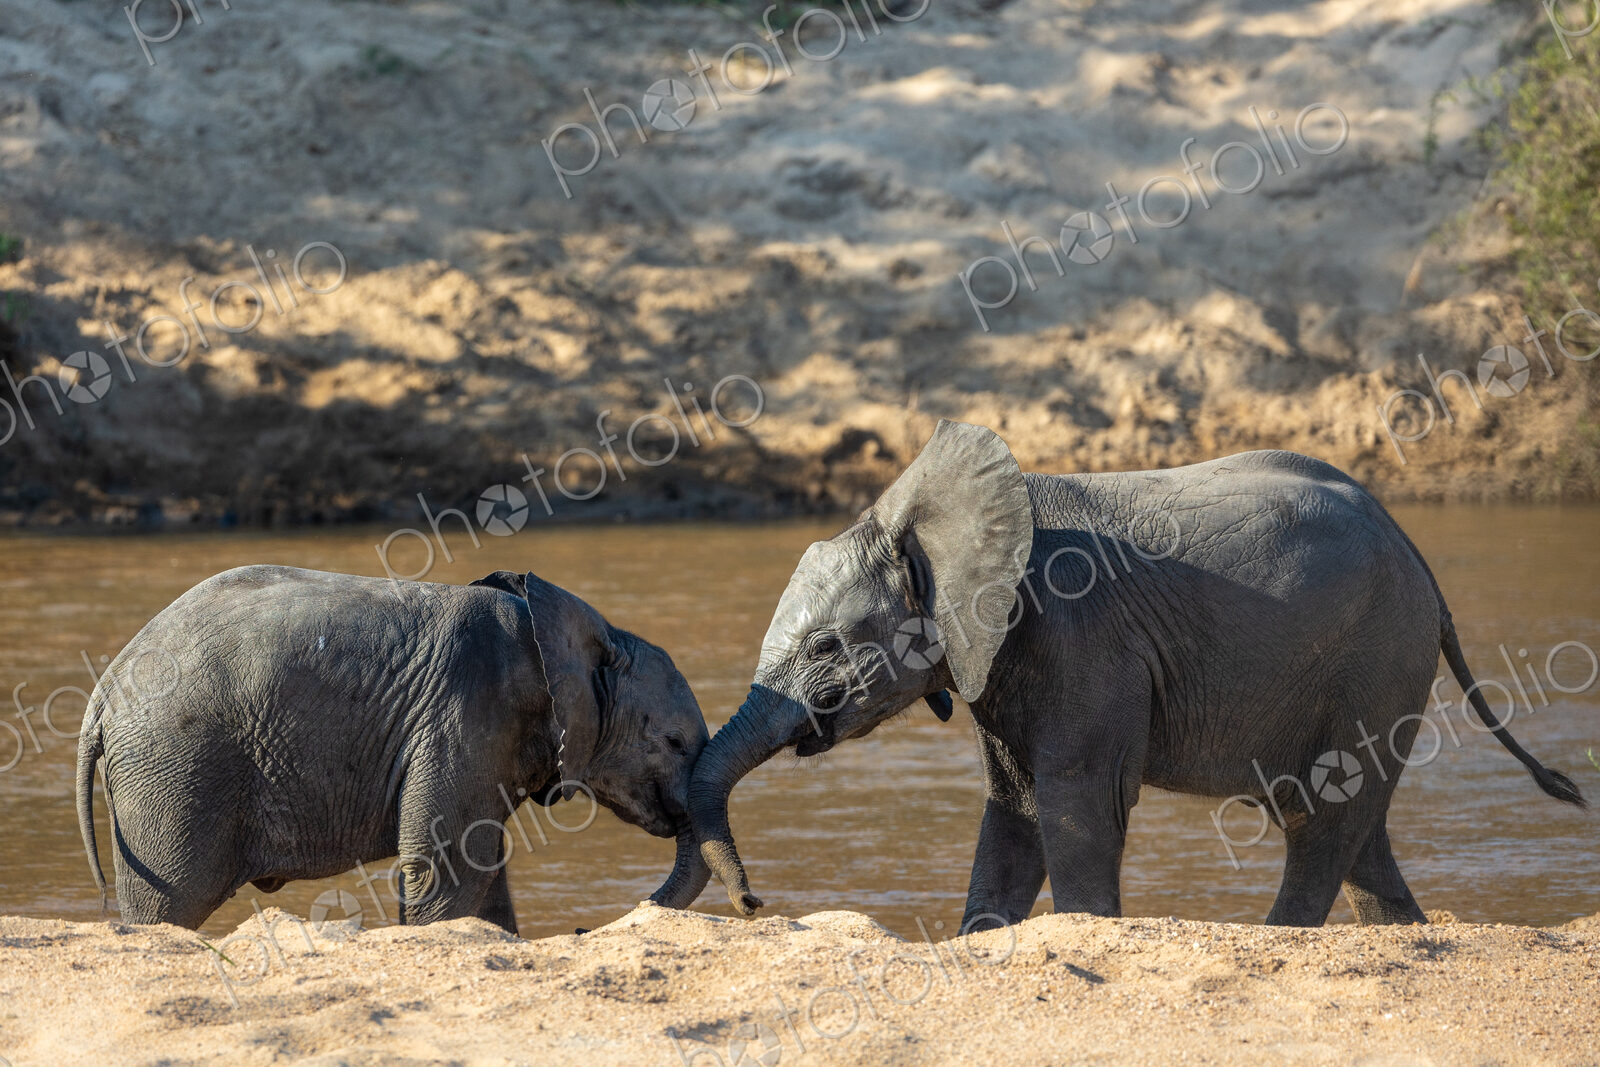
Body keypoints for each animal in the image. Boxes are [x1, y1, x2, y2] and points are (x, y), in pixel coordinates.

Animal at [76, 565, 712, 932]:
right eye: (675, 742)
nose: (582, 931)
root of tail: (101, 697)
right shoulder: (465, 713)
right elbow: (447, 871)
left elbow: (483, 881)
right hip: (176, 771)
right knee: (170, 907)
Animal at [689, 420, 1586, 927]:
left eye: (823, 648)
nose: (754, 904)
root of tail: (1419, 558)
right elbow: (1015, 806)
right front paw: (985, 935)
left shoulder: (1082, 638)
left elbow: (1077, 801)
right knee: (1355, 830)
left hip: (1377, 654)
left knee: (1324, 816)